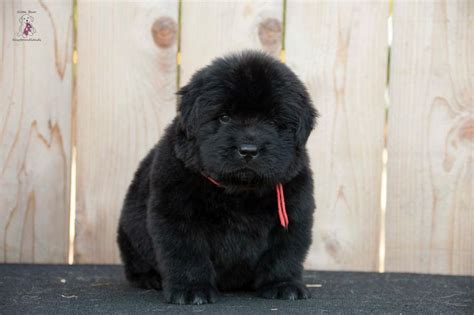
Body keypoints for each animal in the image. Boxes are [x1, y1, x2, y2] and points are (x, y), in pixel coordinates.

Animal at [117, 50, 318, 304]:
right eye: (224, 117)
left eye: (273, 121)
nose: (248, 150)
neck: (240, 191)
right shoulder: (177, 215)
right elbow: (187, 255)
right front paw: (191, 290)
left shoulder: (294, 214)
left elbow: (285, 254)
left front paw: (284, 285)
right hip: (130, 235)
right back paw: (150, 279)